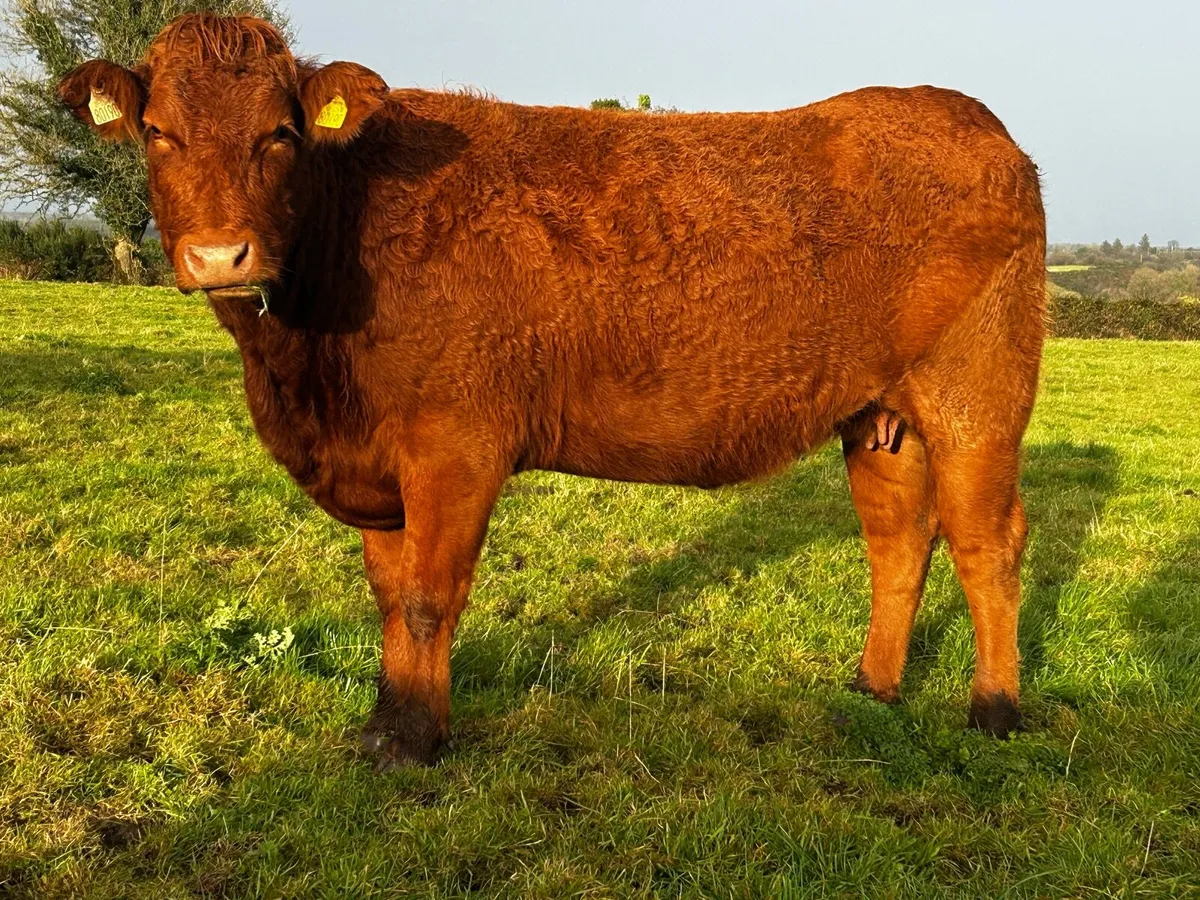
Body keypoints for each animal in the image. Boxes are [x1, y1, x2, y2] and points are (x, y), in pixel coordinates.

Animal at [59, 13, 1046, 769]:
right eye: (159, 134)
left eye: (280, 134)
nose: (220, 255)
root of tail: (964, 116)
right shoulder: (377, 466)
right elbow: (388, 594)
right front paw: (382, 721)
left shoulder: (453, 447)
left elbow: (428, 596)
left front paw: (414, 741)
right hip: (879, 414)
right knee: (899, 540)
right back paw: (872, 689)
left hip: (979, 396)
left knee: (987, 543)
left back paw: (995, 711)